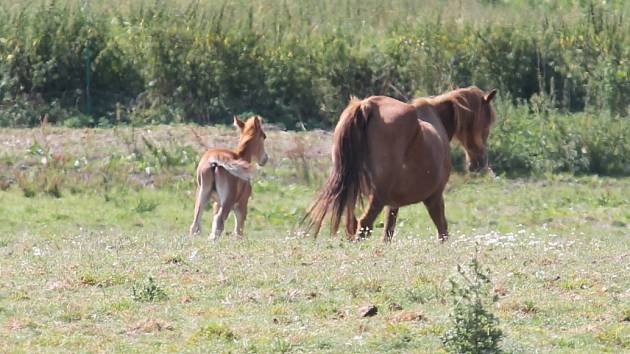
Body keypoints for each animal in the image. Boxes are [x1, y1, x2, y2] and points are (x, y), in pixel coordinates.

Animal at [306, 86, 498, 242]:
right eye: (486, 123)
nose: (479, 163)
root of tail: (368, 106)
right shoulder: (435, 197)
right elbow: (443, 231)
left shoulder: (392, 204)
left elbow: (388, 233)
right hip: (377, 198)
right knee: (364, 225)